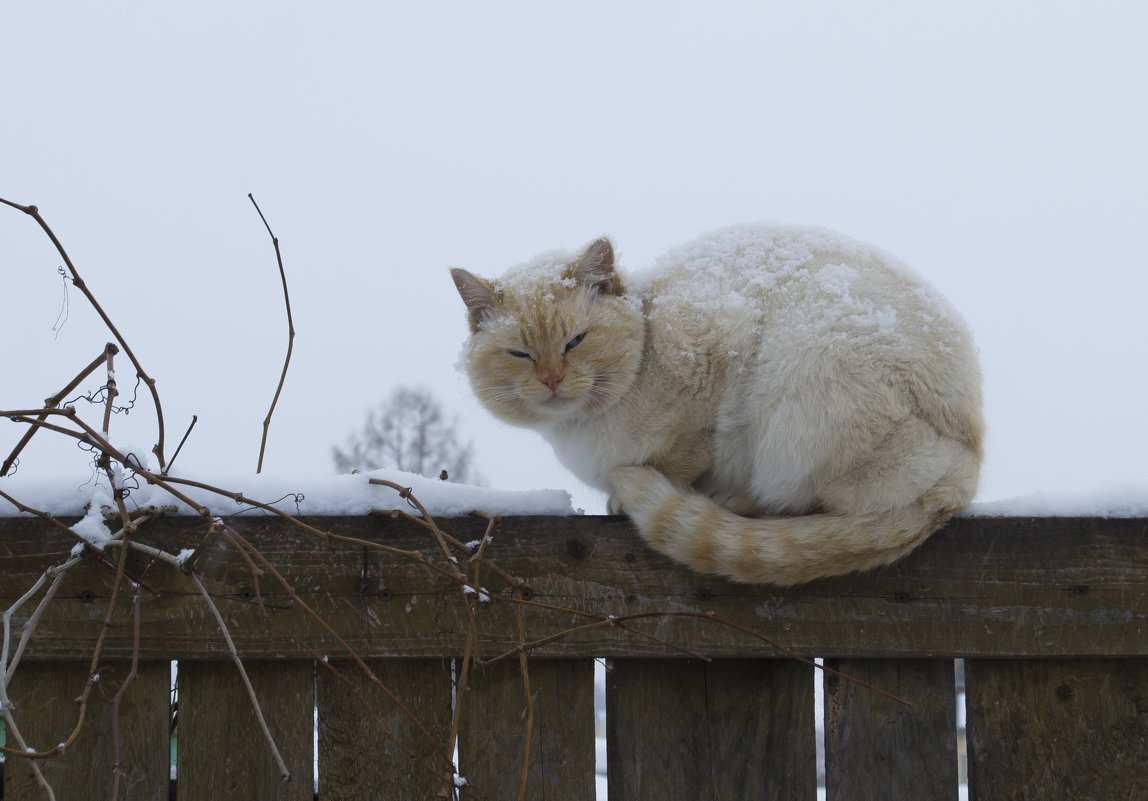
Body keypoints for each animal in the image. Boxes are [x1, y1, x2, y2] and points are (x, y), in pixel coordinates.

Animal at [452, 221, 982, 582]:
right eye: (519, 354)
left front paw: (626, 496)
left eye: (575, 341)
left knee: (816, 503)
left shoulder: (714, 374)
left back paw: (729, 499)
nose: (552, 380)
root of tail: (968, 465)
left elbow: (680, 458)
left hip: (803, 388)